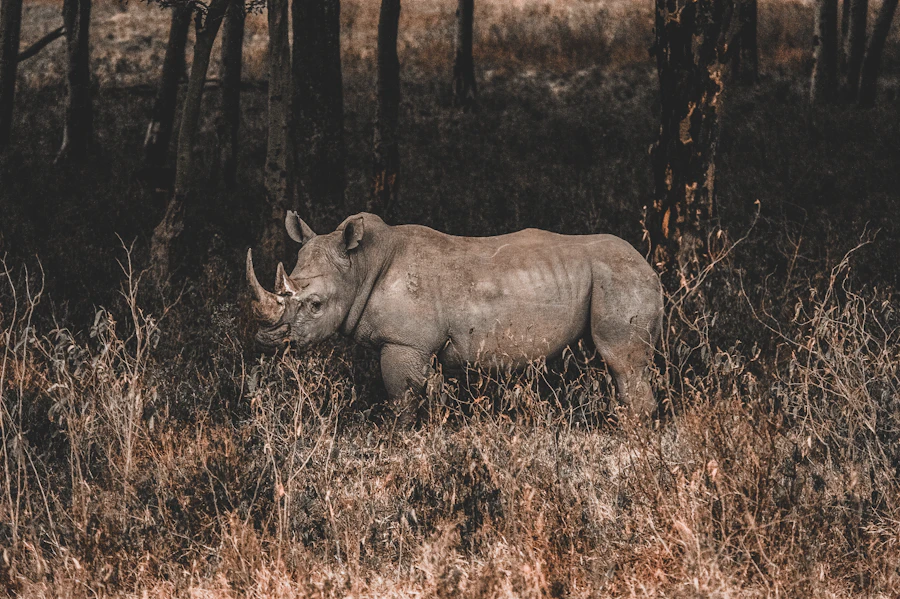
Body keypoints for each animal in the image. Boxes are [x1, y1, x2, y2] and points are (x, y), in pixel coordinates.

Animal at [247, 212, 664, 420]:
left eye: (315, 305)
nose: (267, 339)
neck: (360, 264)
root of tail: (649, 267)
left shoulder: (404, 343)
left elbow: (403, 401)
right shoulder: (420, 347)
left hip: (620, 278)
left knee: (622, 363)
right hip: (611, 278)